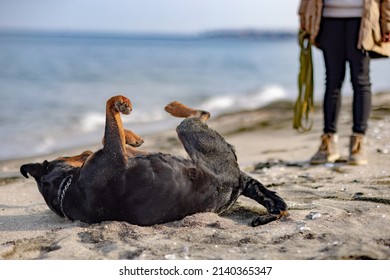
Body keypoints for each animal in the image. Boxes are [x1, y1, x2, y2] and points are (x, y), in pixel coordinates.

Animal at [19, 95, 286, 225]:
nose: (84, 152)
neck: (65, 189)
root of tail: (238, 179)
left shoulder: (122, 153)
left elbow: (113, 134)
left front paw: (132, 136)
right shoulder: (115, 154)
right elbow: (110, 106)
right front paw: (122, 104)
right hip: (192, 134)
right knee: (200, 114)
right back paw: (176, 107)